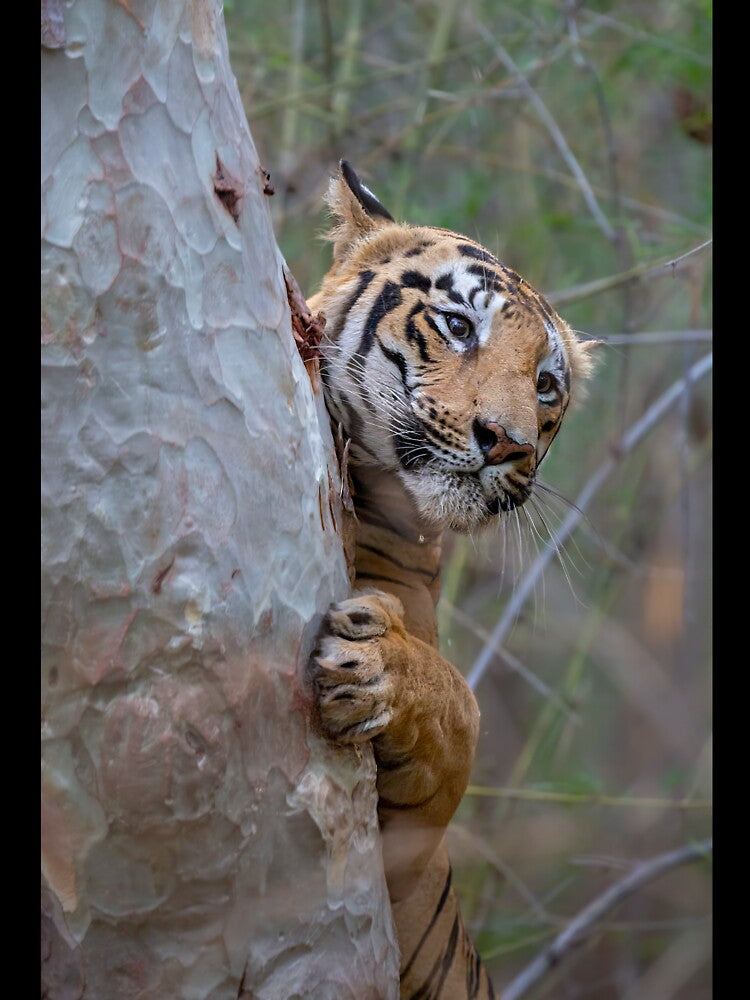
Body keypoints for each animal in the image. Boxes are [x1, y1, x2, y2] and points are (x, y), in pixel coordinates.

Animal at [307, 161, 597, 999]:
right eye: (460, 326)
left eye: (545, 385)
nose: (508, 442)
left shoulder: (403, 859)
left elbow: (461, 704)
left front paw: (376, 667)